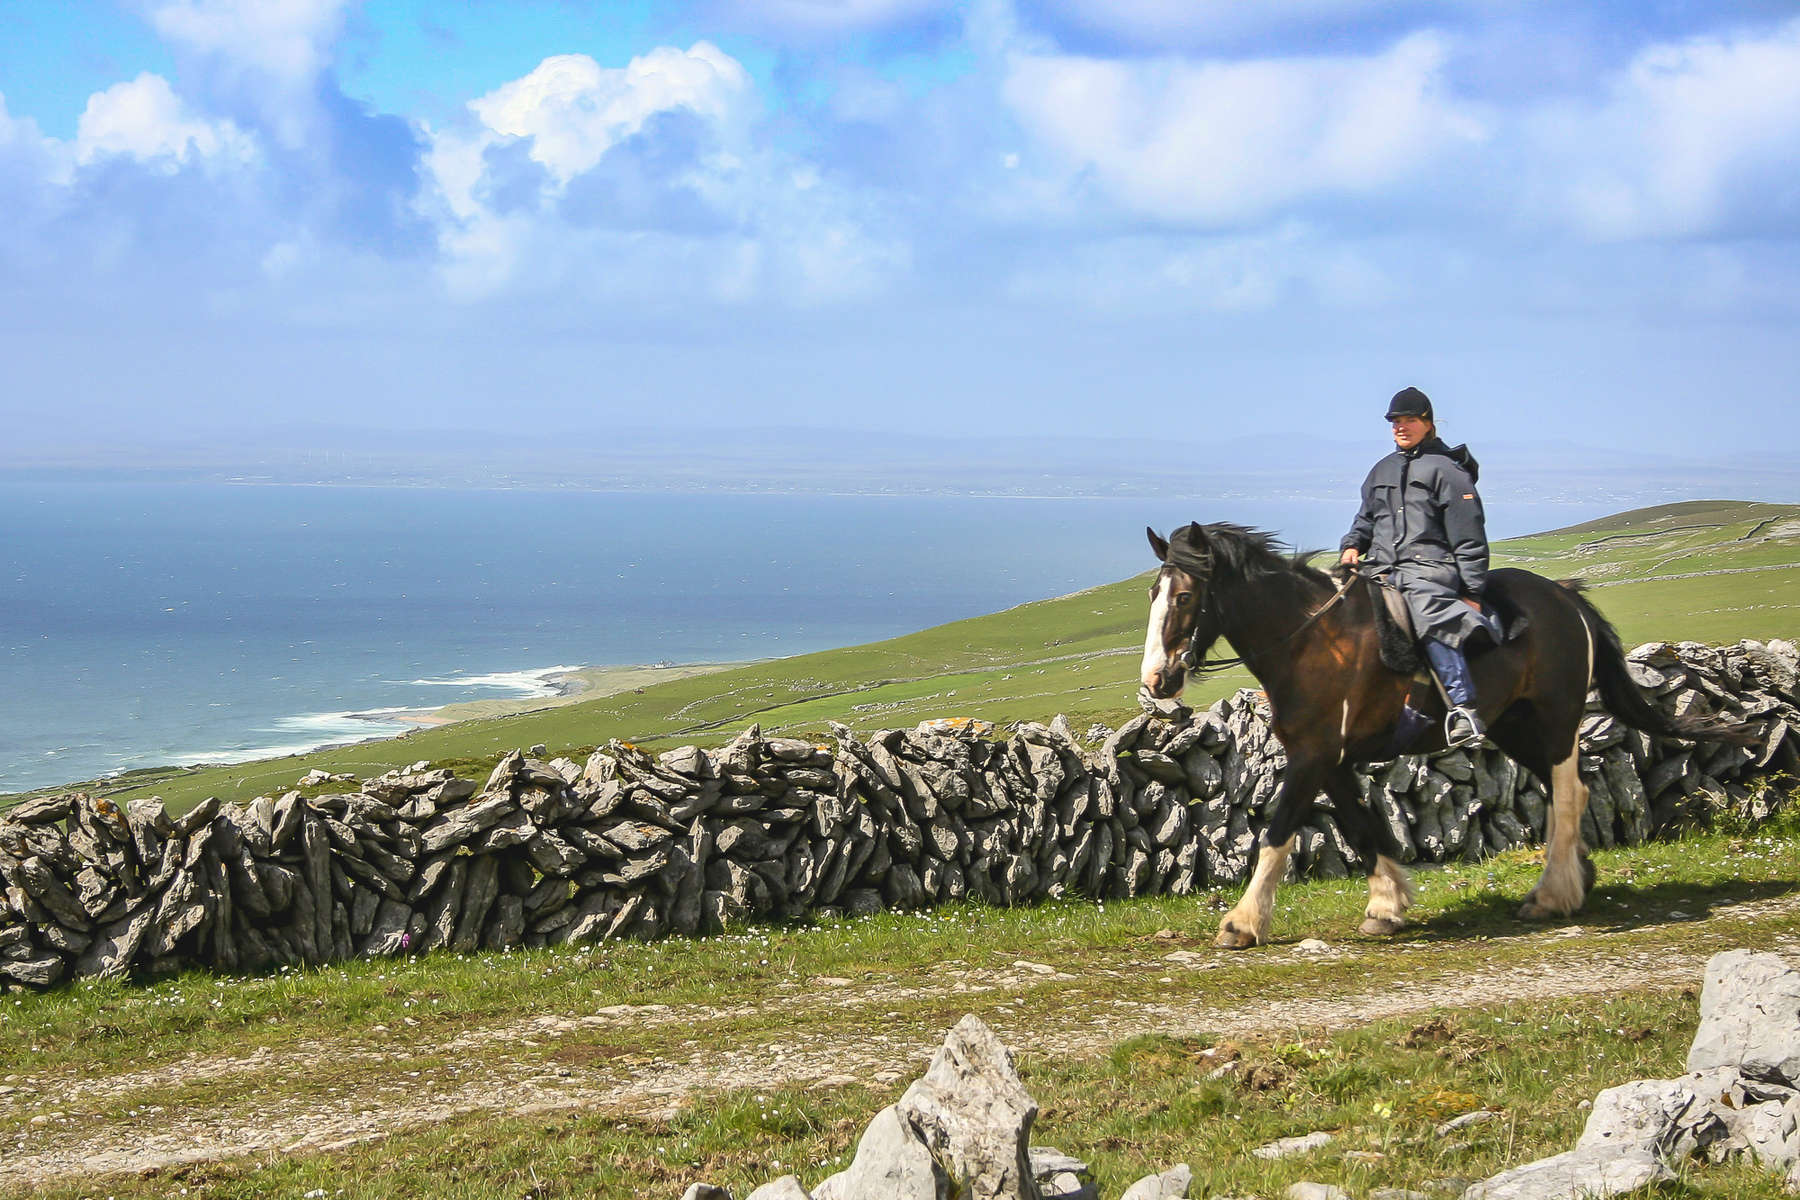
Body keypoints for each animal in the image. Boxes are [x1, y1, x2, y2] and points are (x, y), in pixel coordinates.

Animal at [1144, 521, 1749, 949]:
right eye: (1152, 593)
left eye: (1184, 597)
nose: (1155, 680)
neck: (1311, 641)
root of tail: (1564, 598)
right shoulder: (1328, 758)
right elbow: (1363, 829)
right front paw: (1386, 906)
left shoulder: (1314, 756)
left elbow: (1277, 833)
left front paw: (1242, 924)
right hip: (1515, 727)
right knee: (1566, 794)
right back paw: (1576, 878)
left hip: (1553, 722)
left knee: (1568, 793)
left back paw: (1553, 894)